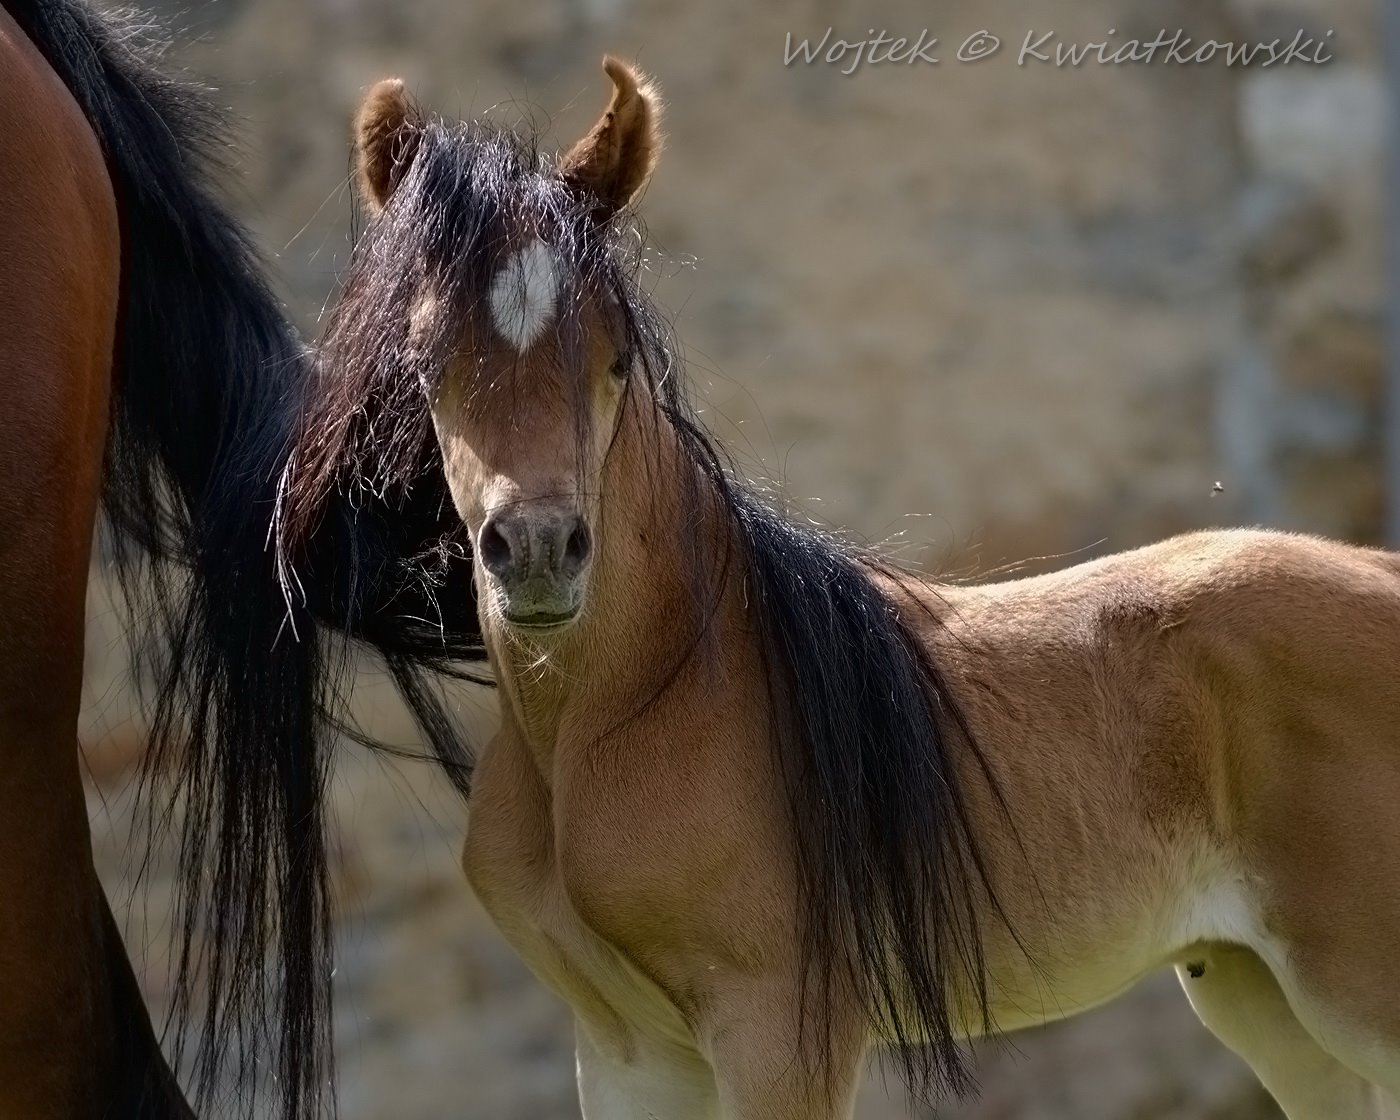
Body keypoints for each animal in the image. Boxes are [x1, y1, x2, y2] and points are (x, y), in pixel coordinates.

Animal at [292, 63, 1400, 1120]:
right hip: (1262, 996)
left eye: (616, 355)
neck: (646, 700)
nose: (534, 550)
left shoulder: (781, 1034)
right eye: (425, 361)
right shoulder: (627, 1052)